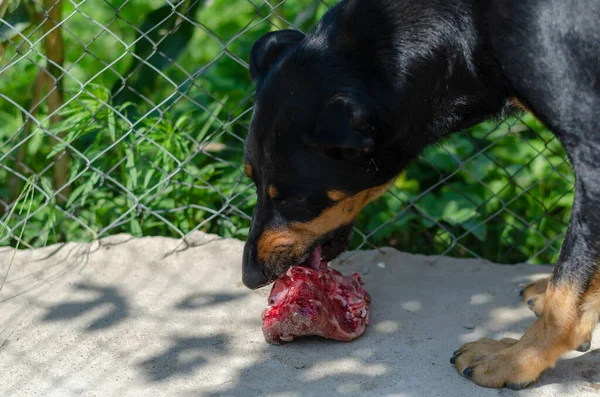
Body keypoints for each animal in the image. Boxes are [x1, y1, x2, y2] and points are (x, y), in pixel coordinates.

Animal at [240, 0, 600, 390]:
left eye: (294, 199)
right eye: (252, 179)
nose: (249, 277)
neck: (470, 27)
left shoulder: (591, 153)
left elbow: (566, 295)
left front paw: (514, 359)